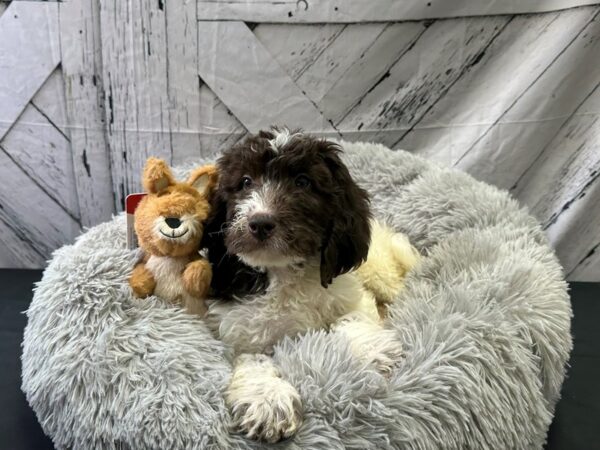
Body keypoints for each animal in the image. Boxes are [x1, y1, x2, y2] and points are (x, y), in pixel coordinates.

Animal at [204, 127, 420, 442]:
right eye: (245, 182)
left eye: (303, 182)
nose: (260, 222)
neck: (284, 272)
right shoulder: (235, 332)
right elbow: (252, 359)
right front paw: (268, 401)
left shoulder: (352, 294)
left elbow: (350, 318)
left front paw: (372, 350)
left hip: (381, 271)